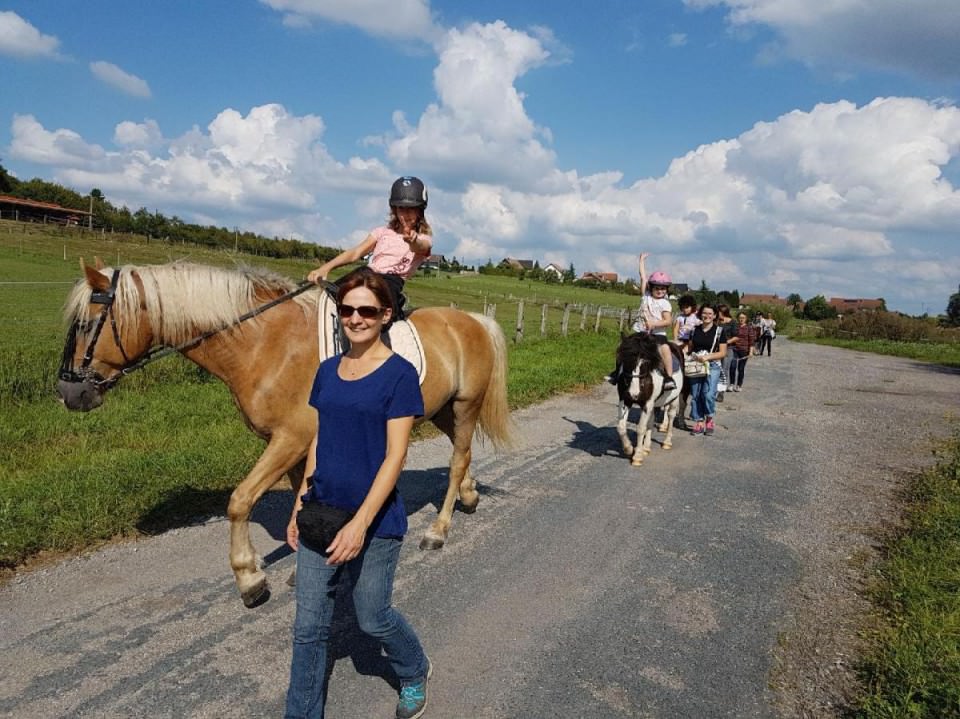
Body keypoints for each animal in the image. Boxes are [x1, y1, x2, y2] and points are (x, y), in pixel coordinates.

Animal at [57, 262, 512, 604]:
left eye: (85, 324)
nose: (68, 391)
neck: (263, 345)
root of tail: (474, 320)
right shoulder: (298, 447)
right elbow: (298, 499)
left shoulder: (289, 440)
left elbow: (240, 500)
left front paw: (250, 578)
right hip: (442, 410)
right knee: (462, 456)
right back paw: (470, 496)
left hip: (465, 405)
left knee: (457, 459)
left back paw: (438, 531)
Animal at [612, 334, 688, 466]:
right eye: (626, 361)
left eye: (646, 363)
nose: (634, 394)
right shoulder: (625, 401)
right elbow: (621, 427)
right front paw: (628, 448)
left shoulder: (647, 403)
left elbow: (640, 428)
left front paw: (637, 456)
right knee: (651, 421)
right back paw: (646, 448)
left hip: (674, 398)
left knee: (671, 415)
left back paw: (667, 442)